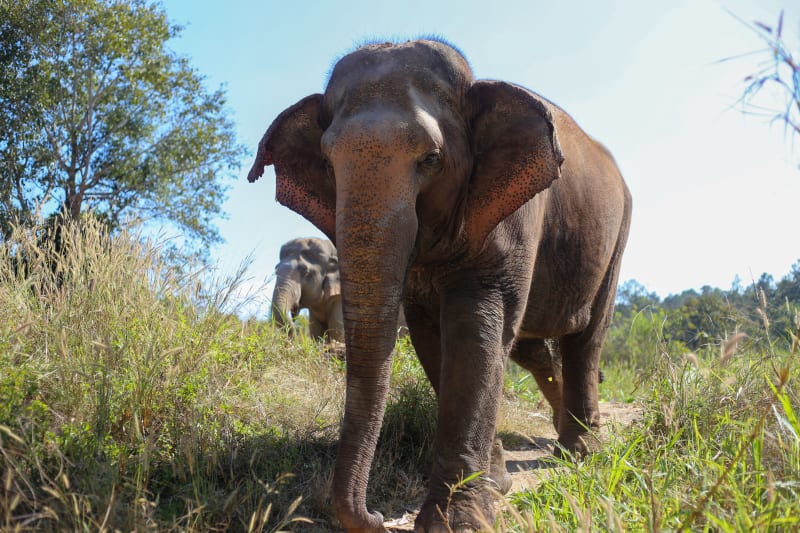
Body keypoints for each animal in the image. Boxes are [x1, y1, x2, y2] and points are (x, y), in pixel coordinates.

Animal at [248, 39, 632, 532]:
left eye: (431, 159)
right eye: (329, 164)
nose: (376, 515)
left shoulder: (513, 214)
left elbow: (475, 331)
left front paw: (457, 521)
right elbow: (433, 339)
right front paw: (495, 485)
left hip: (617, 234)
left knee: (586, 338)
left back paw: (580, 453)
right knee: (534, 349)